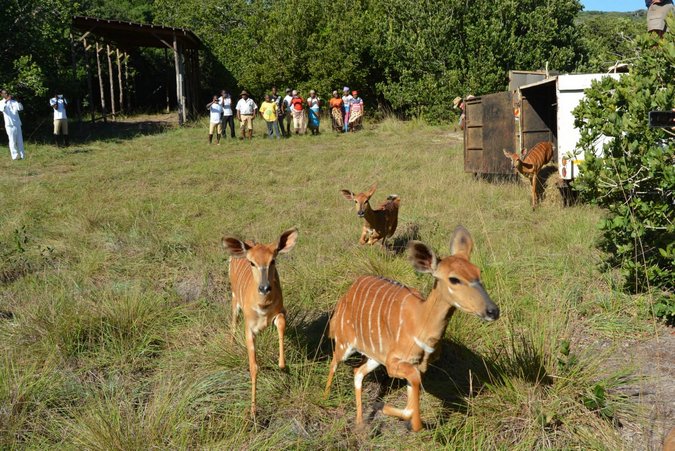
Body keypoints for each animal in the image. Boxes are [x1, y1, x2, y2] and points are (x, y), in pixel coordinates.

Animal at [222, 228, 298, 418]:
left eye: (273, 260)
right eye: (252, 263)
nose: (264, 287)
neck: (263, 307)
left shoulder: (280, 311)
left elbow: (281, 325)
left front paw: (282, 365)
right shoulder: (249, 328)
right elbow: (253, 367)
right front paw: (253, 411)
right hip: (234, 297)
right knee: (233, 320)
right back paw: (231, 345)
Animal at [324, 228, 500, 432]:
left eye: (478, 272)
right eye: (454, 279)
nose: (493, 311)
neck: (419, 321)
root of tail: (347, 293)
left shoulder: (415, 365)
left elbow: (410, 402)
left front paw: (383, 407)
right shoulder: (394, 363)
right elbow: (413, 392)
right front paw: (408, 422)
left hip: (374, 356)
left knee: (357, 372)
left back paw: (361, 423)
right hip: (345, 342)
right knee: (334, 363)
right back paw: (325, 398)